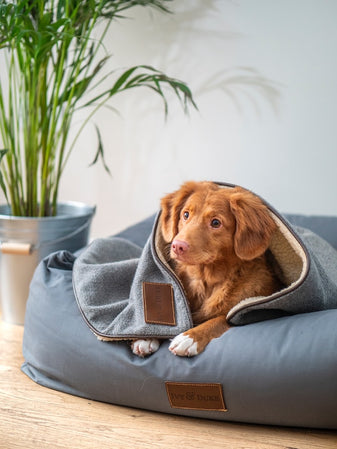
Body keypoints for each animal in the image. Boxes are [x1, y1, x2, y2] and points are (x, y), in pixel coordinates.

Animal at [130, 180, 280, 356]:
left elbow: (220, 319)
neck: (205, 279)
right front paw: (146, 336)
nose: (177, 246)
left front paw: (190, 337)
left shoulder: (250, 311)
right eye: (185, 214)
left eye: (215, 223)